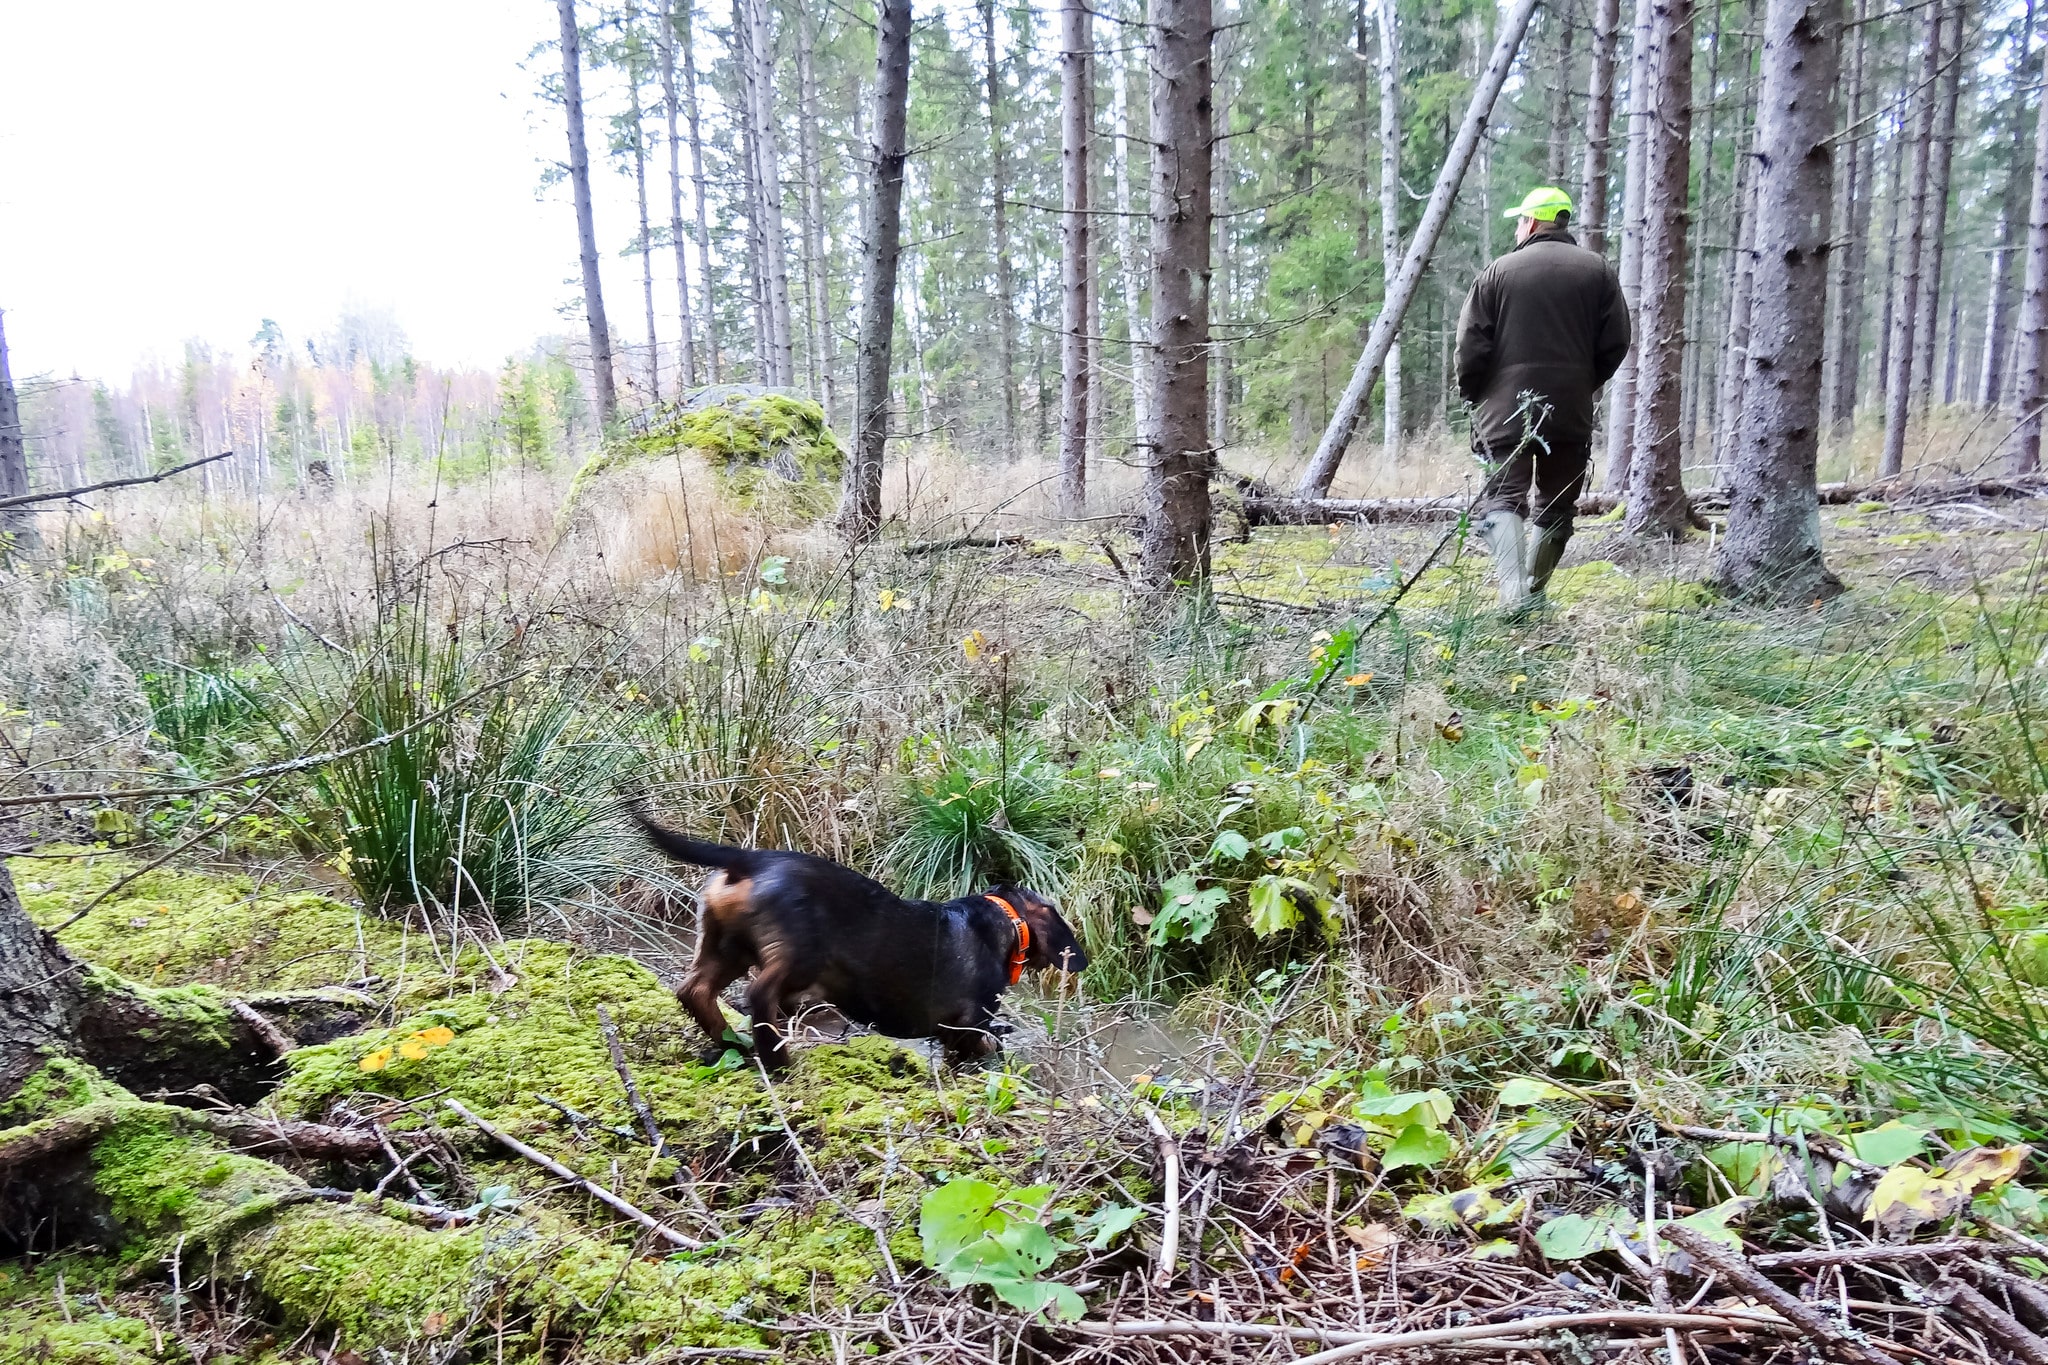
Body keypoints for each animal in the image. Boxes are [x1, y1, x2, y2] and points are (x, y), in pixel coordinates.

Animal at [630, 810, 1089, 1064]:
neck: (1004, 919)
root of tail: (752, 859)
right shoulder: (969, 1022)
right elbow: (982, 1048)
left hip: (726, 946)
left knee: (695, 990)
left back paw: (734, 1043)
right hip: (798, 957)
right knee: (760, 994)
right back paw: (777, 1059)